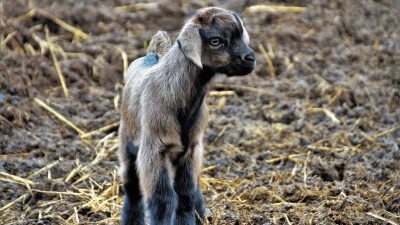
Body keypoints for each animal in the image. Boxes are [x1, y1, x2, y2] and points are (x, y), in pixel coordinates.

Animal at [119, 7, 256, 225]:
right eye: (216, 40)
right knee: (132, 190)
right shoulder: (154, 150)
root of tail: (152, 54)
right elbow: (163, 197)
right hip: (127, 143)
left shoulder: (192, 149)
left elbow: (186, 192)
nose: (250, 59)